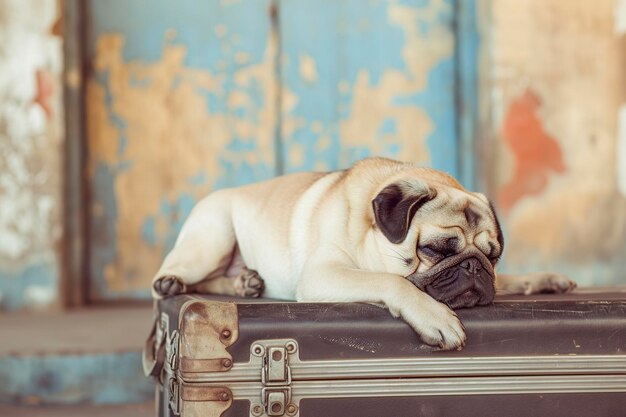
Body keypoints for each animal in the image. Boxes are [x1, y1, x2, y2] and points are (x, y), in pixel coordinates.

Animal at [150, 158, 572, 350]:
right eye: (433, 250)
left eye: (492, 256)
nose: (473, 267)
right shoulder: (322, 274)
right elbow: (392, 282)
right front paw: (435, 316)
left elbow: (510, 281)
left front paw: (544, 280)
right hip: (214, 236)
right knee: (172, 277)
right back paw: (175, 282)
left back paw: (245, 283)